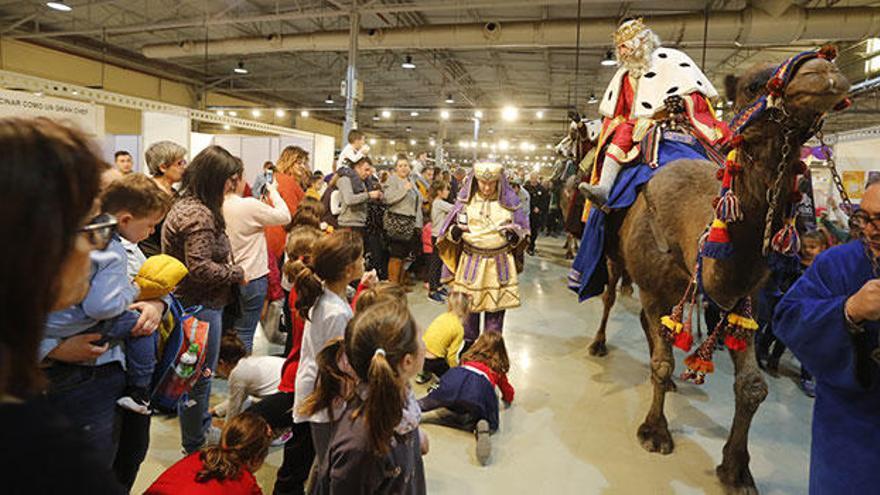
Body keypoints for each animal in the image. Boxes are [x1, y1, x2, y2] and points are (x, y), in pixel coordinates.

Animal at [600, 54, 848, 492]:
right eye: (752, 85)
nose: (823, 69)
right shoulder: (653, 287)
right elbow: (662, 361)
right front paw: (655, 431)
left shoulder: (740, 298)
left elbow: (752, 386)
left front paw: (736, 468)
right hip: (618, 261)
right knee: (612, 297)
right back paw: (598, 345)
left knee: (653, 328)